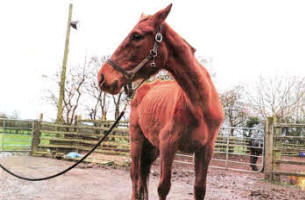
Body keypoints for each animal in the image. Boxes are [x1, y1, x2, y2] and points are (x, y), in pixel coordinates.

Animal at [97, 3, 223, 199]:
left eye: (136, 35)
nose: (102, 77)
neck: (199, 106)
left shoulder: (206, 150)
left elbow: (199, 188)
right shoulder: (168, 146)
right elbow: (163, 187)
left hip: (151, 147)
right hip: (136, 141)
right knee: (135, 177)